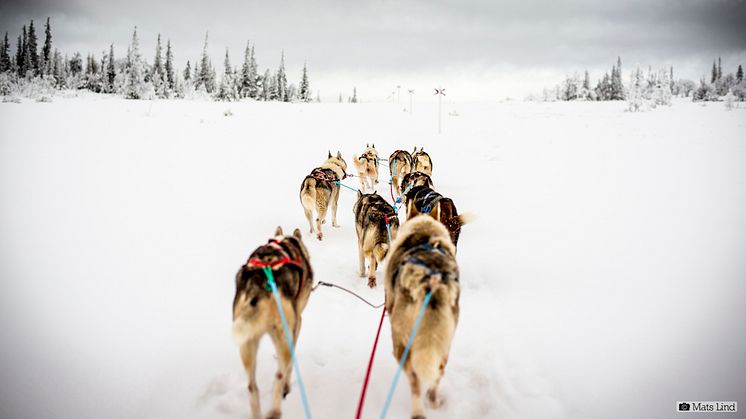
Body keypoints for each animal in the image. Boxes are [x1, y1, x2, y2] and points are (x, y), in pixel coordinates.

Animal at [232, 228, 314, 419]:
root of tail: (260, 282)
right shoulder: (297, 323)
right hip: (283, 335)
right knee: (279, 375)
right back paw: (275, 409)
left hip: (247, 343)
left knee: (252, 387)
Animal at [384, 217, 460, 419]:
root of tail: (430, 284)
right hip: (444, 344)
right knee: (437, 374)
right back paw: (433, 400)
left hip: (402, 345)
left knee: (414, 380)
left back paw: (418, 411)